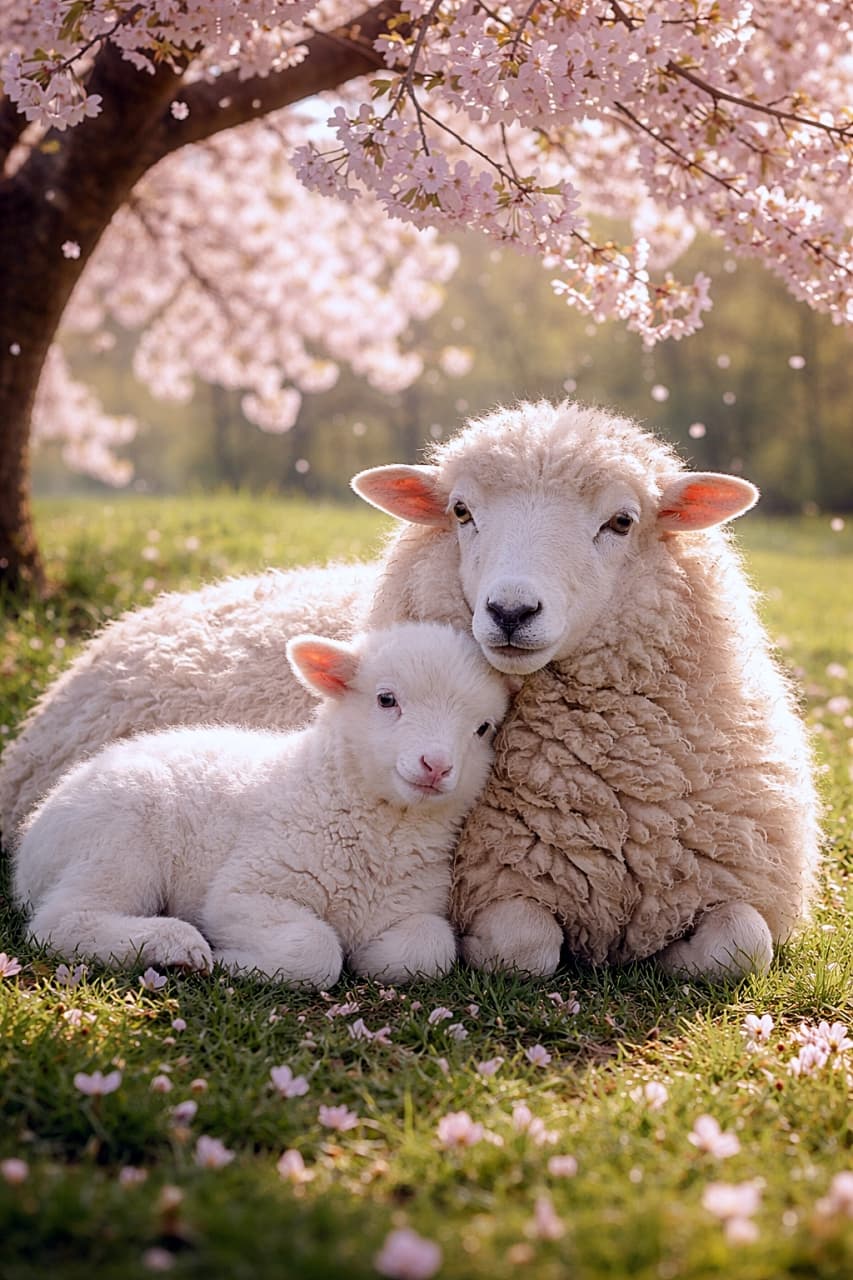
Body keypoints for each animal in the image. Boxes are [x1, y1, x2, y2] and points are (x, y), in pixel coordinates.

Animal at [12, 623, 509, 986]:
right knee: (61, 922)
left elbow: (428, 951)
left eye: (483, 728)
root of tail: (32, 836)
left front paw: (371, 956)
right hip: (116, 839)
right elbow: (315, 949)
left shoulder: (413, 908)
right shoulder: (247, 889)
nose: (436, 766)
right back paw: (175, 946)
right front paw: (235, 960)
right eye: (387, 699)